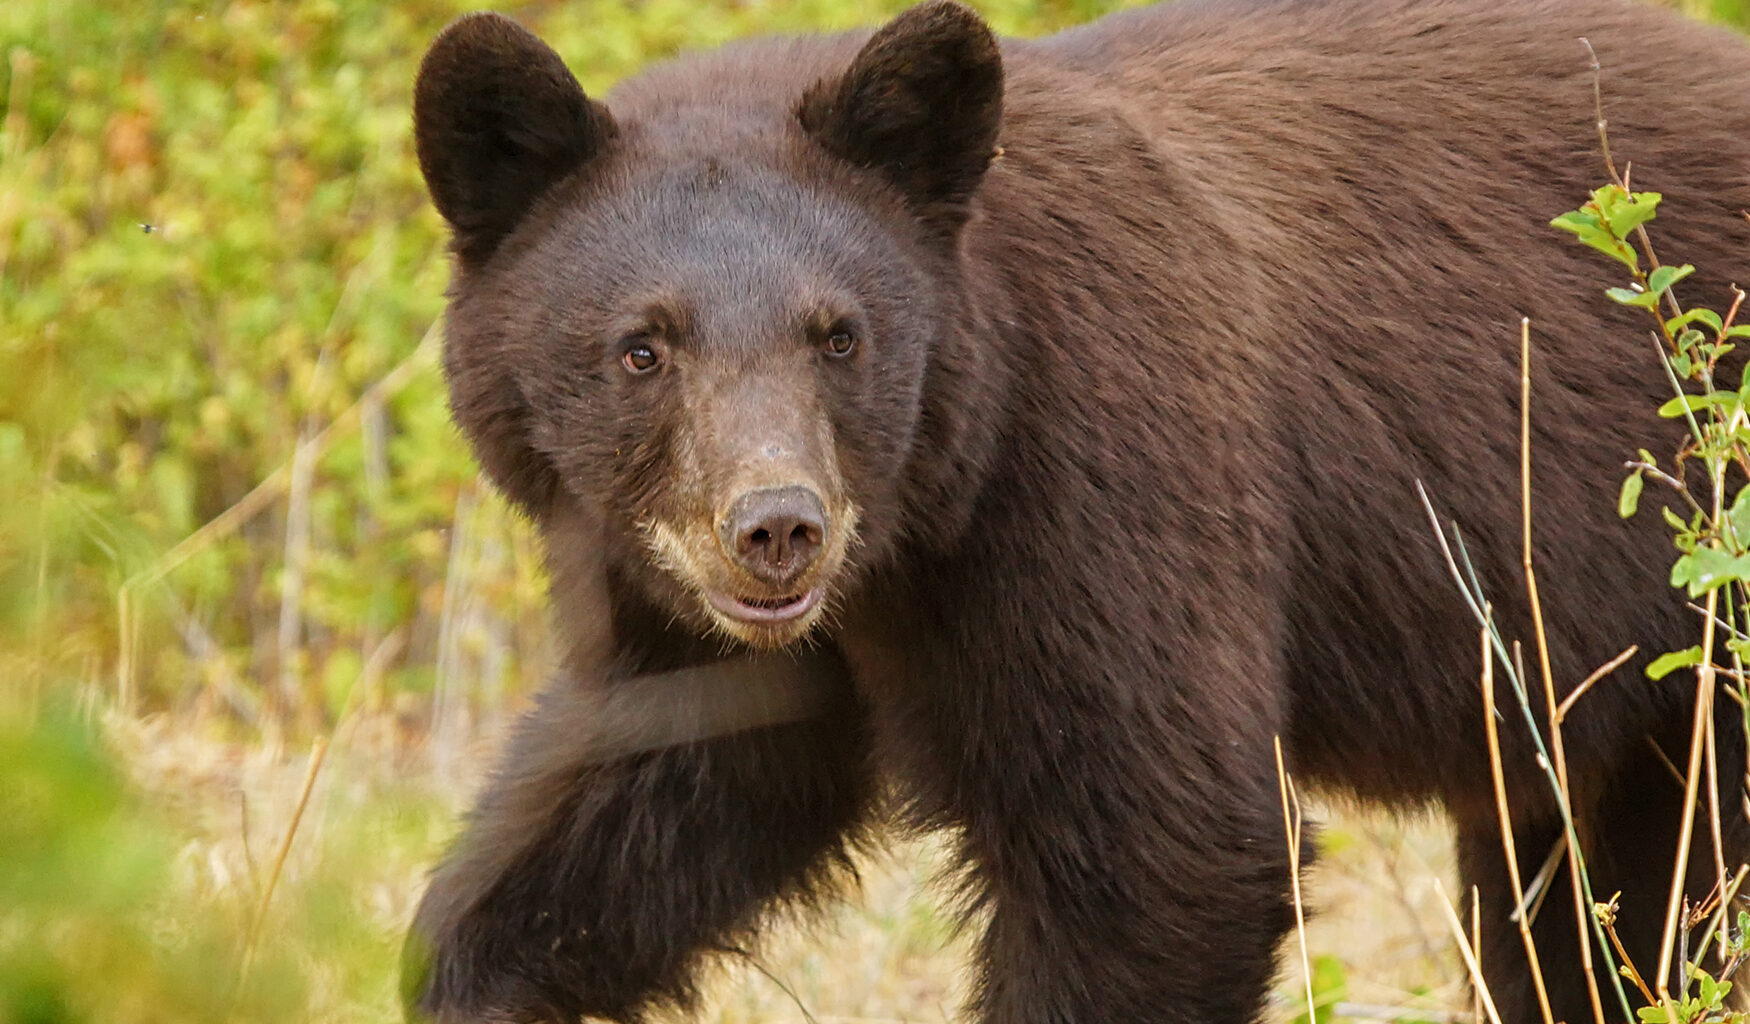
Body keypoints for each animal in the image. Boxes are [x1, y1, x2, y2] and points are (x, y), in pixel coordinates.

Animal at [403, 1, 1750, 1022]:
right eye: (643, 346)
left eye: (839, 335)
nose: (777, 525)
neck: (913, 536)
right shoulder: (692, 609)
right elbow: (651, 796)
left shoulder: (1095, 472)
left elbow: (1154, 846)